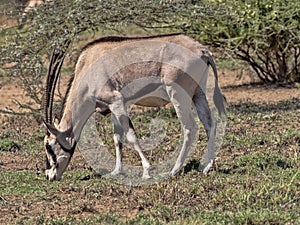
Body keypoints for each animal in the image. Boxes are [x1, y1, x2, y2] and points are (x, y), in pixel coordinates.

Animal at [43, 33, 226, 181]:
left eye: (49, 146)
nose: (50, 176)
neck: (87, 68)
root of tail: (202, 50)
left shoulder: (116, 100)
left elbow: (131, 135)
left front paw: (146, 171)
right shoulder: (115, 106)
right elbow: (117, 138)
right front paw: (116, 171)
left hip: (178, 95)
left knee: (190, 128)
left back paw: (174, 170)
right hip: (198, 94)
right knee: (209, 124)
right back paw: (207, 167)